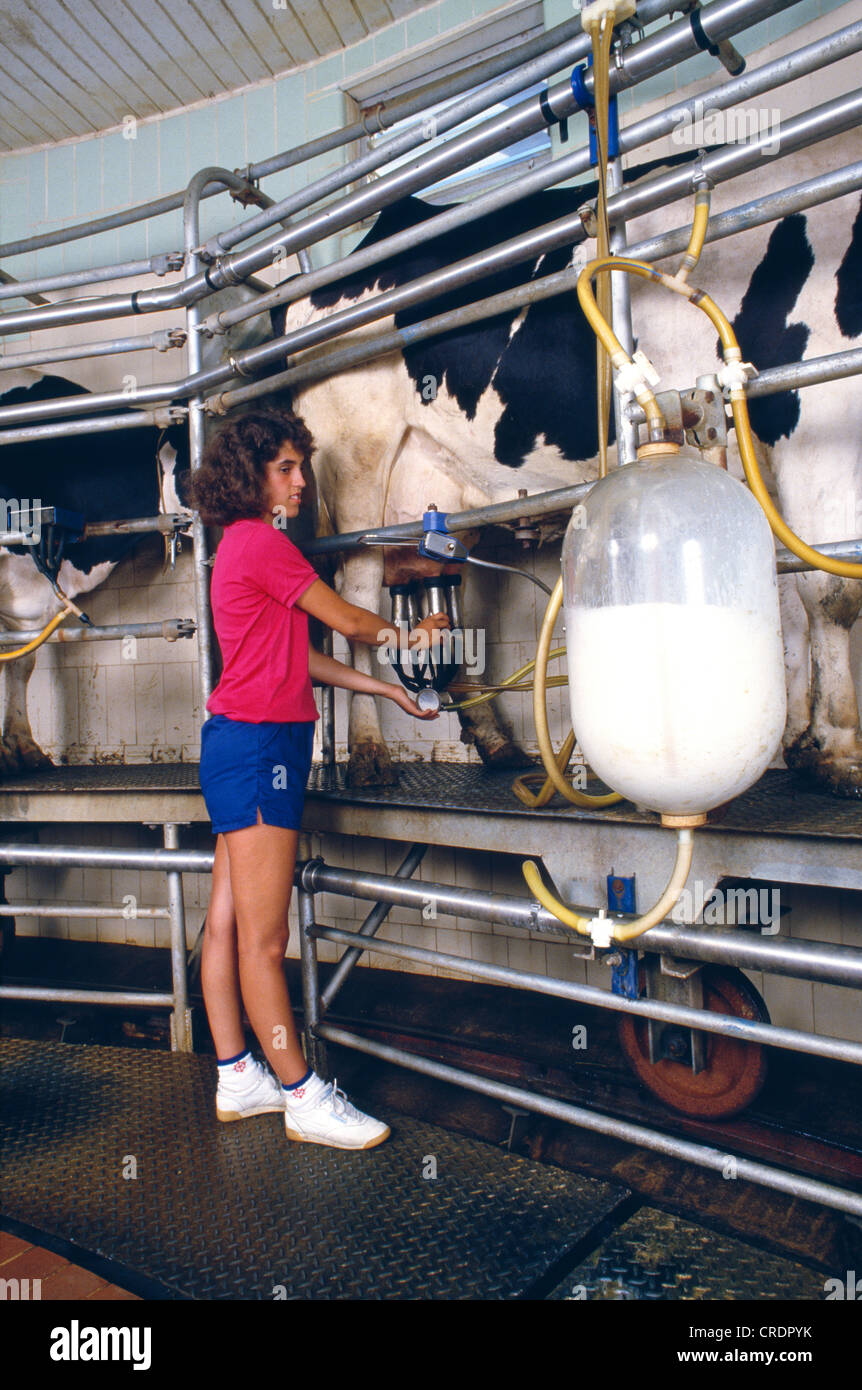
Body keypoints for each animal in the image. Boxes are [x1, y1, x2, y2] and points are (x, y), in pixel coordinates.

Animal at [271, 130, 862, 800]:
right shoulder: (814, 405)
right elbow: (830, 588)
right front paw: (840, 750)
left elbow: (786, 587)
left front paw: (803, 742)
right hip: (356, 463)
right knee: (358, 593)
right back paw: (370, 753)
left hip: (440, 490)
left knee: (446, 597)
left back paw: (496, 742)